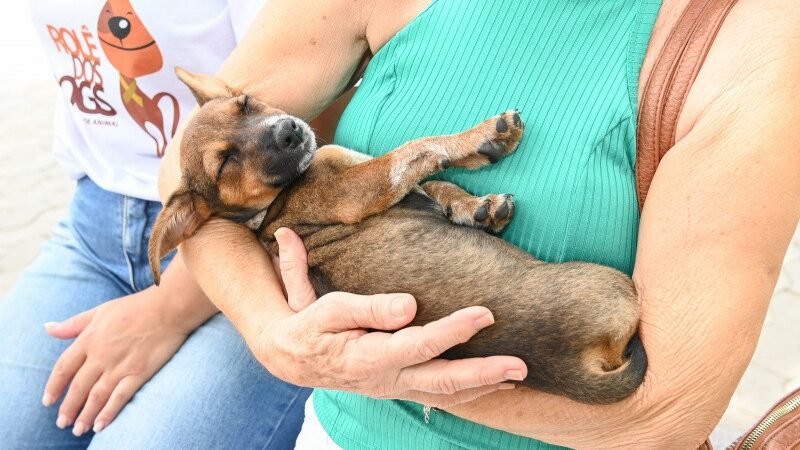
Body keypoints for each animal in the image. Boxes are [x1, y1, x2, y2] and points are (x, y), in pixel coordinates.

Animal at [150, 69, 648, 404]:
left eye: (248, 103)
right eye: (224, 163)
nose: (290, 130)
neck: (269, 207)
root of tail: (572, 366)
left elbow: (435, 182)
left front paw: (478, 207)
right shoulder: (358, 188)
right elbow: (417, 149)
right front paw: (483, 135)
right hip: (610, 281)